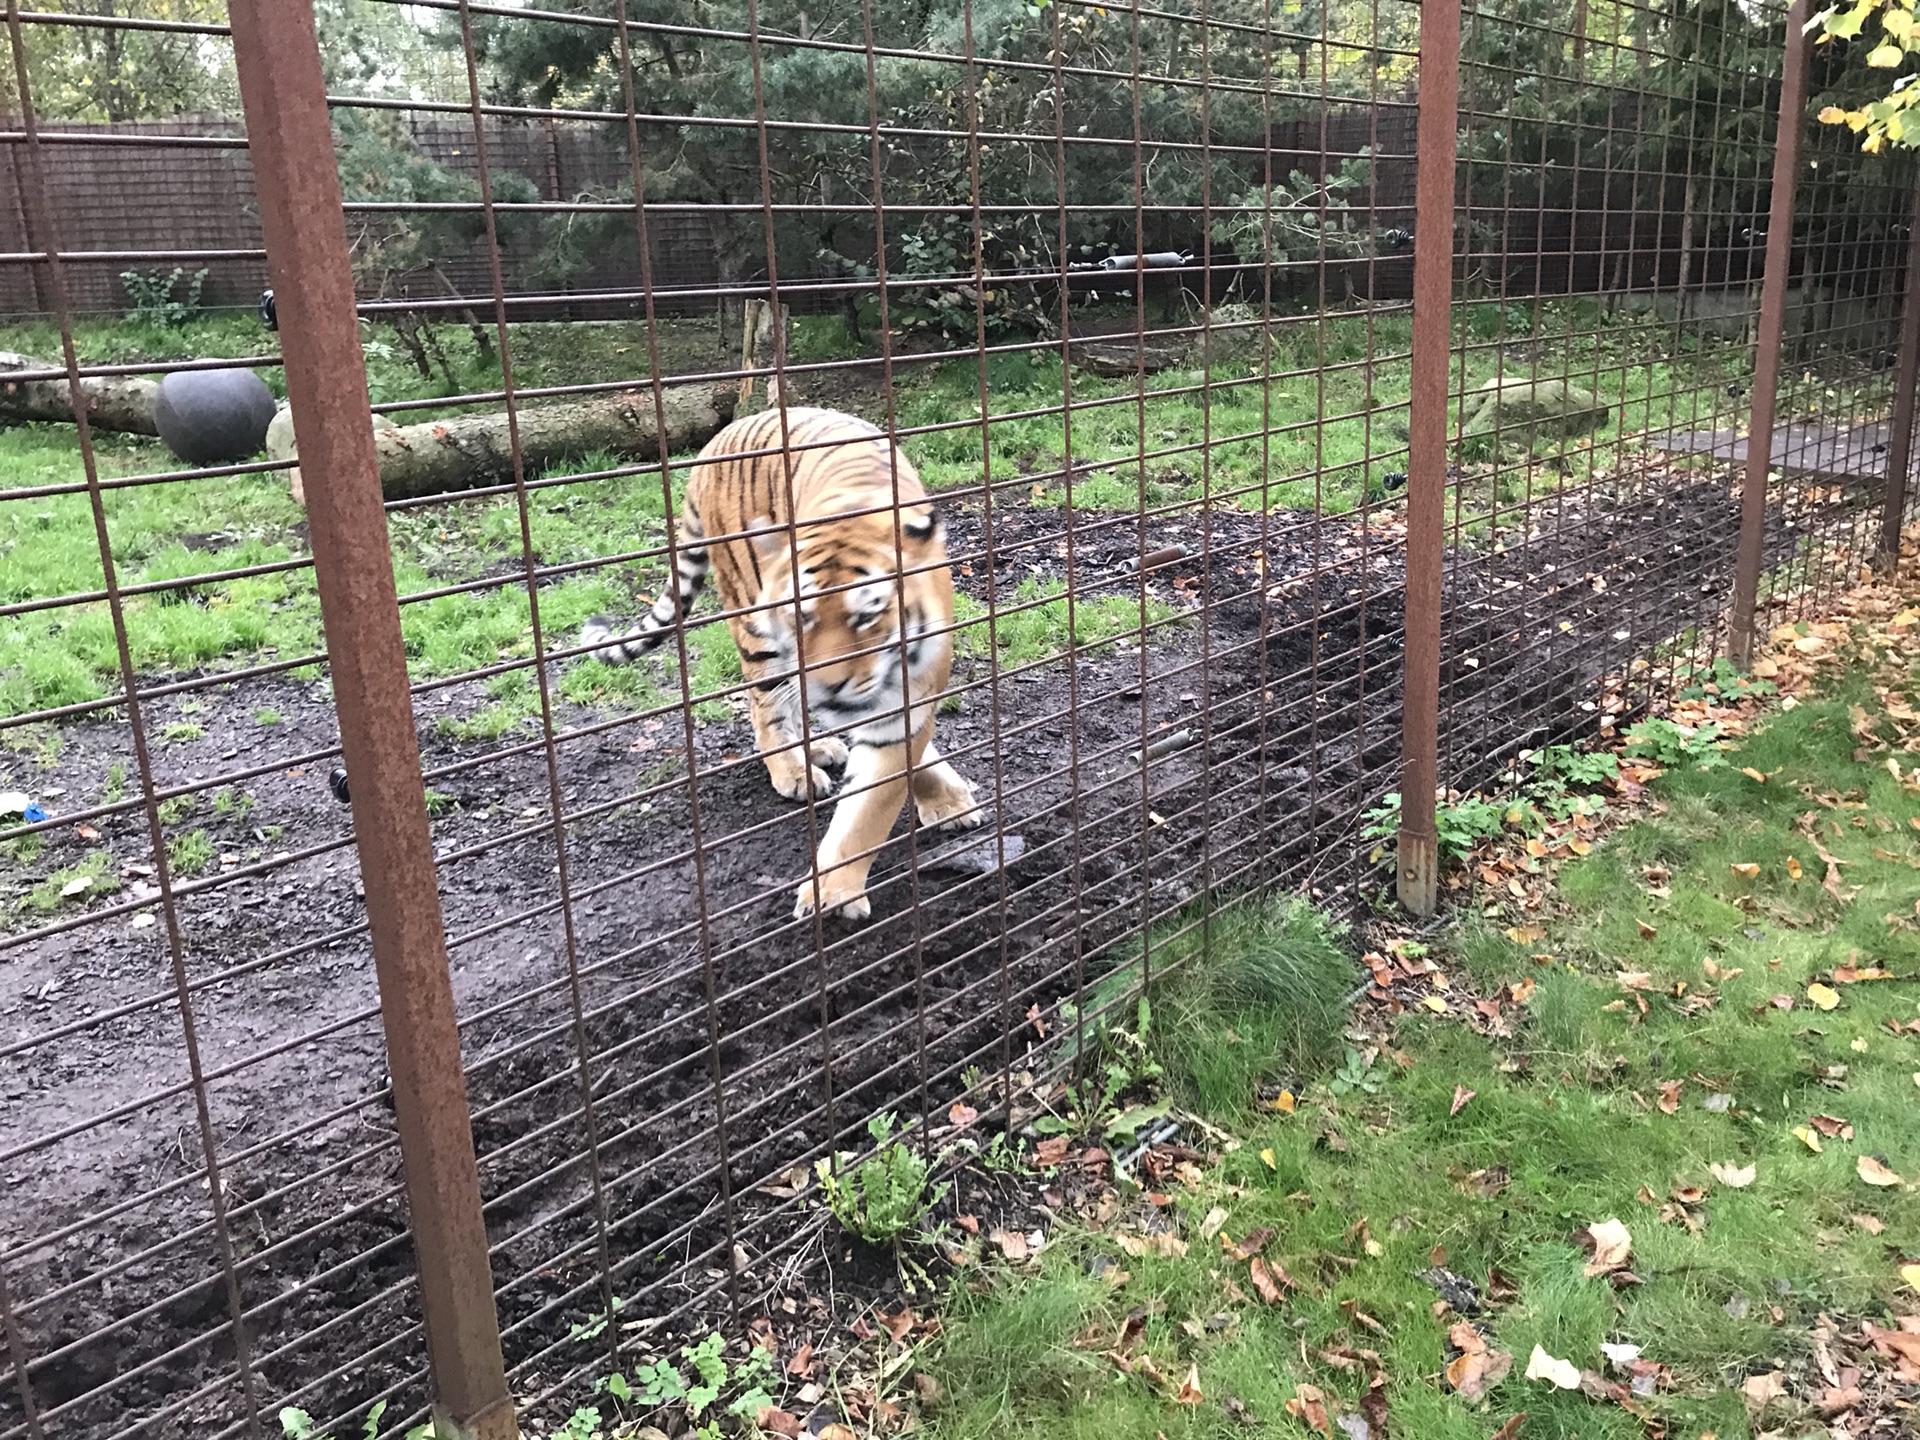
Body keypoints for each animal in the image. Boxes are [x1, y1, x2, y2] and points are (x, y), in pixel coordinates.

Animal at [576, 407, 983, 925]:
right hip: (754, 627)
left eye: (867, 615)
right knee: (764, 705)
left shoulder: (905, 704)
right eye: (800, 615)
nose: (829, 686)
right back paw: (794, 770)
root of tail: (716, 439)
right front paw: (834, 896)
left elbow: (872, 804)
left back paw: (822, 748)